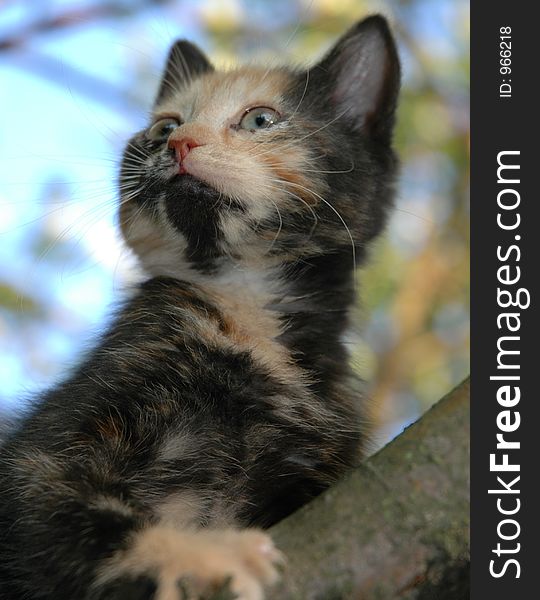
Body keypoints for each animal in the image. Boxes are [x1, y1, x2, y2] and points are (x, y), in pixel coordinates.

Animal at [0, 14, 398, 600]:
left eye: (260, 119)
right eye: (164, 127)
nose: (179, 144)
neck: (247, 308)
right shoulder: (36, 460)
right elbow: (88, 521)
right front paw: (206, 554)